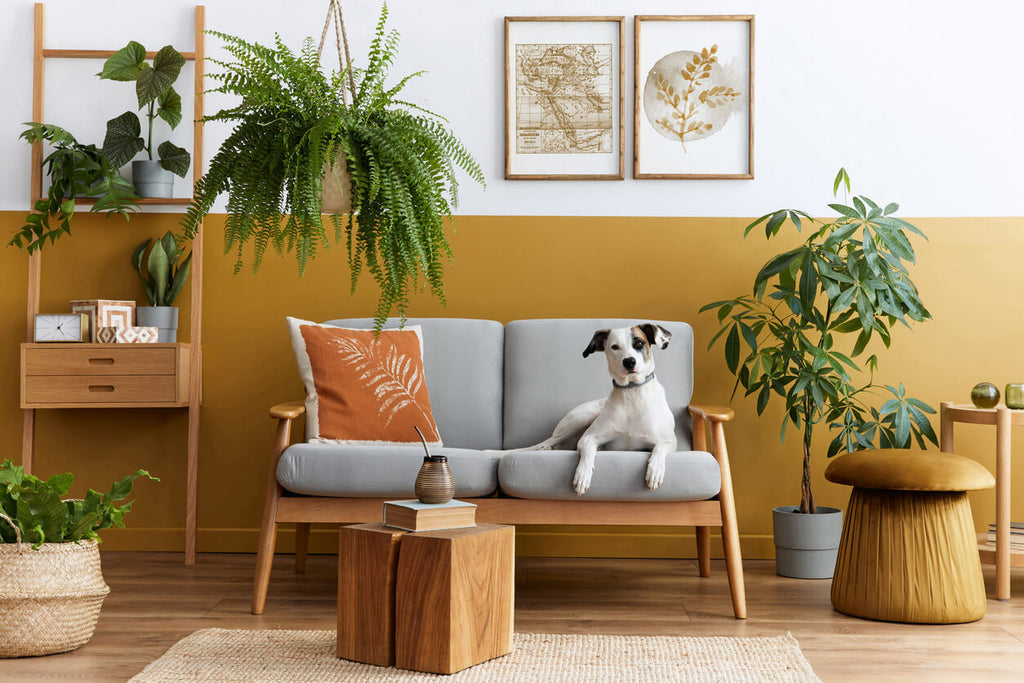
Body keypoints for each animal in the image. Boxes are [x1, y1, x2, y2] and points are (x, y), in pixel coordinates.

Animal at [528, 323, 679, 493]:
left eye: (639, 343)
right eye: (615, 347)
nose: (629, 362)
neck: (632, 393)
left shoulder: (669, 441)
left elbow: (659, 449)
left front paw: (655, 471)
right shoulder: (587, 439)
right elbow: (588, 451)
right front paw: (582, 475)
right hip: (581, 418)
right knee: (547, 442)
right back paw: (543, 448)